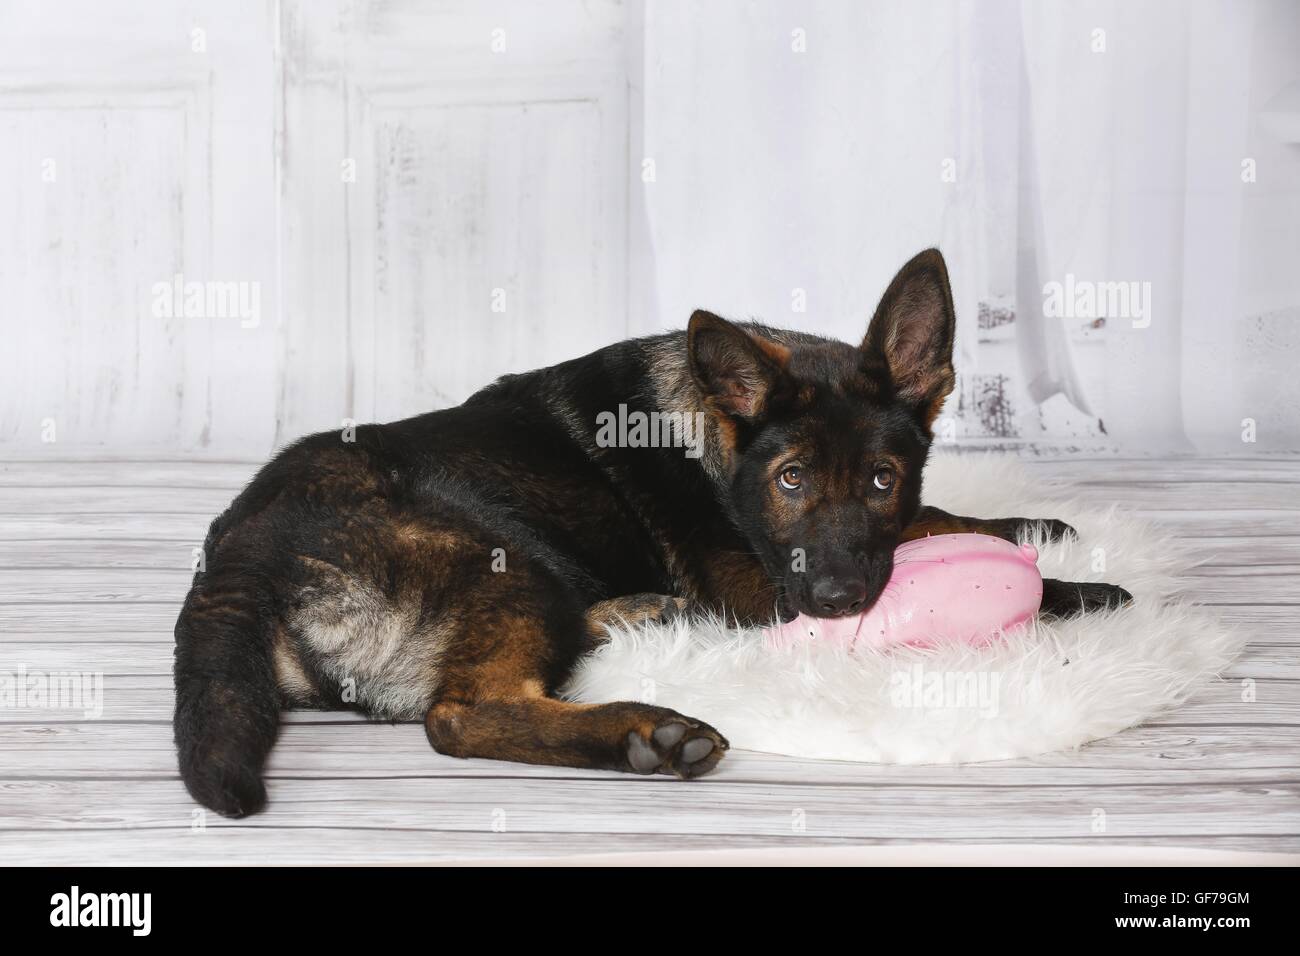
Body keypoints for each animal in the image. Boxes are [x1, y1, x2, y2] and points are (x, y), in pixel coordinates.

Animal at [170, 247, 1128, 816]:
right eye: (790, 480)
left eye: (882, 480)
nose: (837, 599)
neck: (712, 434)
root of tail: (234, 553)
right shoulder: (760, 590)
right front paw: (1077, 588)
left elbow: (934, 520)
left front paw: (1029, 526)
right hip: (509, 559)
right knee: (462, 711)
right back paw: (646, 733)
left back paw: (634, 620)